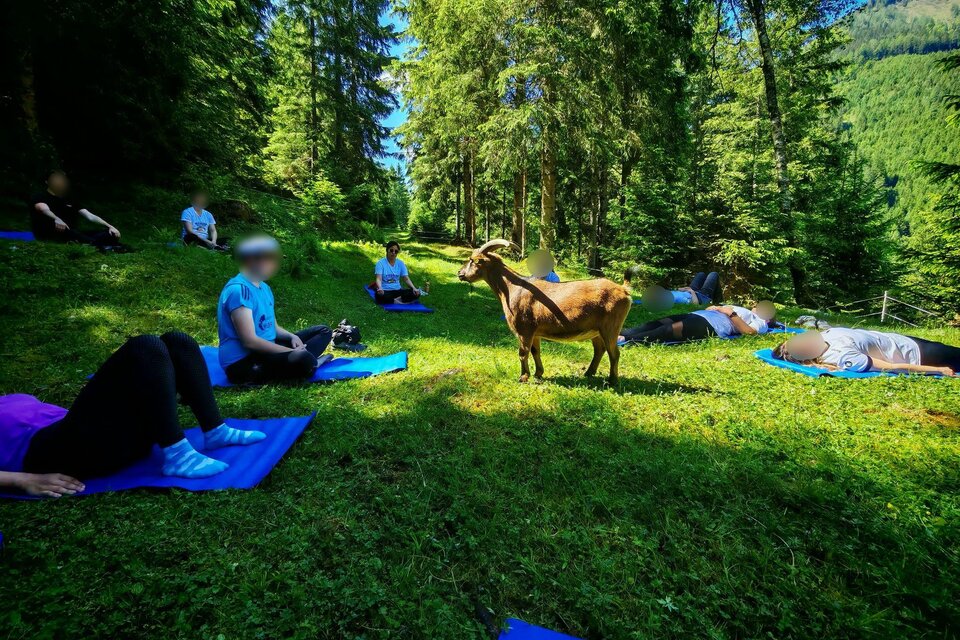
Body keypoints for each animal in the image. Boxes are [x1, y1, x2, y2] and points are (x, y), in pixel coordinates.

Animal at [457, 239, 632, 385]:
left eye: (472, 260)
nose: (460, 273)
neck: (511, 288)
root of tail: (624, 290)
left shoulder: (524, 330)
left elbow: (523, 353)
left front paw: (523, 377)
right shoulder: (535, 332)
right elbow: (535, 351)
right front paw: (538, 374)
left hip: (611, 328)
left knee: (614, 353)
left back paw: (612, 381)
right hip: (596, 330)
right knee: (599, 350)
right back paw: (589, 373)